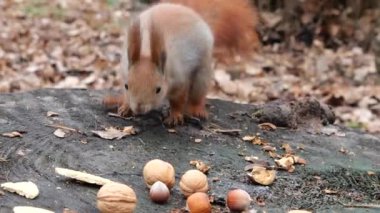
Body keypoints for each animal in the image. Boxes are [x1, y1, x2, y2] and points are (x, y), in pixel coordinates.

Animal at [103, 0, 258, 125]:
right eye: (127, 86)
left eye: (158, 89)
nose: (139, 108)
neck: (147, 52)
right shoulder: (124, 73)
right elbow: (125, 96)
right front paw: (125, 106)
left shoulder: (180, 80)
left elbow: (178, 101)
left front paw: (175, 116)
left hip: (202, 73)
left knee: (197, 95)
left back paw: (197, 109)